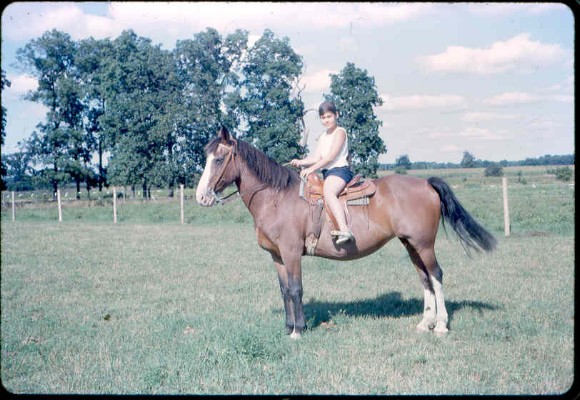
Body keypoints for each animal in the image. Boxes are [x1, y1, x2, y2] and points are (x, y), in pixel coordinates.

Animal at [197, 127, 496, 338]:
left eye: (219, 159)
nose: (201, 196)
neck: (276, 197)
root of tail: (425, 183)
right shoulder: (277, 257)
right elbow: (284, 291)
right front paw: (287, 327)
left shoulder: (291, 253)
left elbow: (295, 289)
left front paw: (298, 330)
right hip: (411, 244)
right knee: (424, 278)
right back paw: (425, 323)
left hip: (424, 244)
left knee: (436, 275)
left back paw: (442, 325)